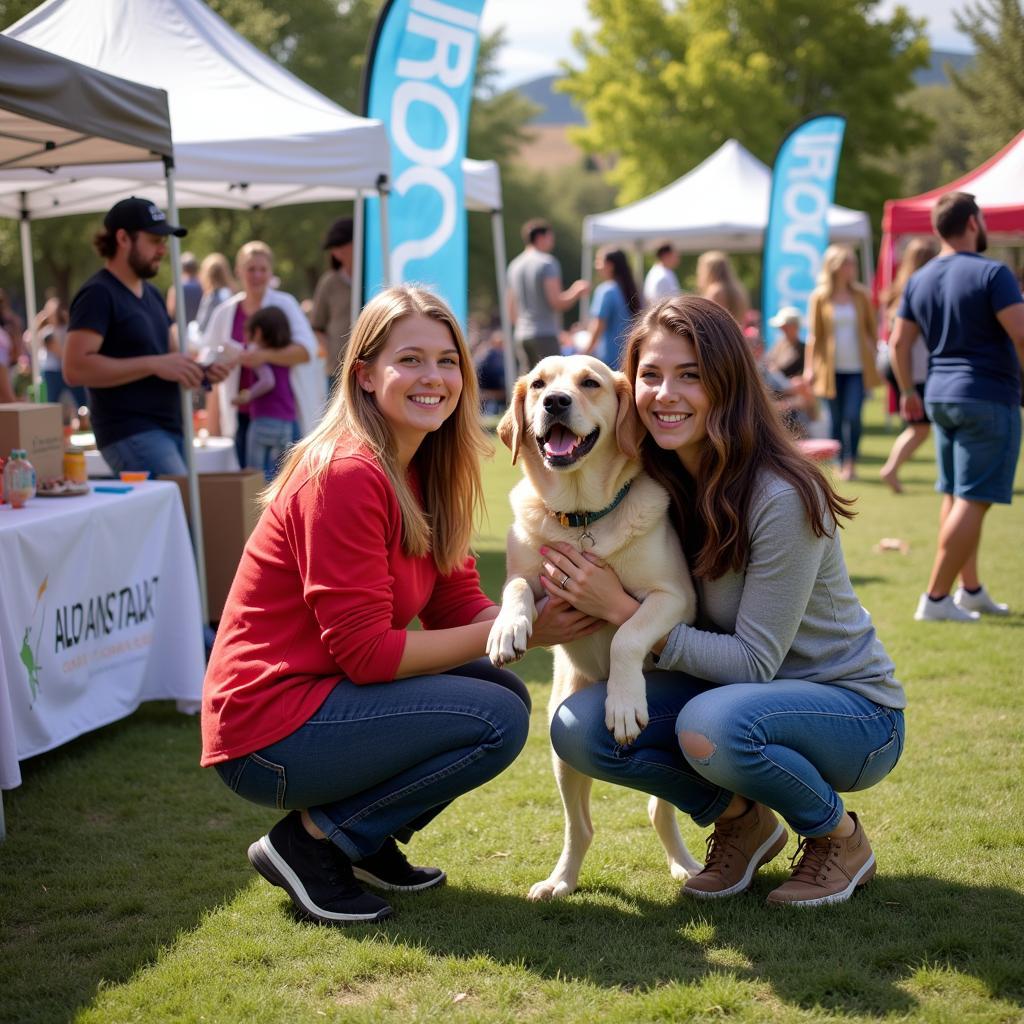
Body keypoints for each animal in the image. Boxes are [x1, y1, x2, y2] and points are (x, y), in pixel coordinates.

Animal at [487, 356, 704, 901]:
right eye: (538, 383)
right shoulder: (529, 573)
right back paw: (560, 880)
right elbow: (515, 588)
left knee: (659, 809)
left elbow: (627, 633)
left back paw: (687, 866)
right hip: (559, 740)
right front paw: (506, 631)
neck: (581, 515)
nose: (554, 402)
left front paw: (624, 704)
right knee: (580, 826)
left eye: (590, 383)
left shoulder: (675, 597)